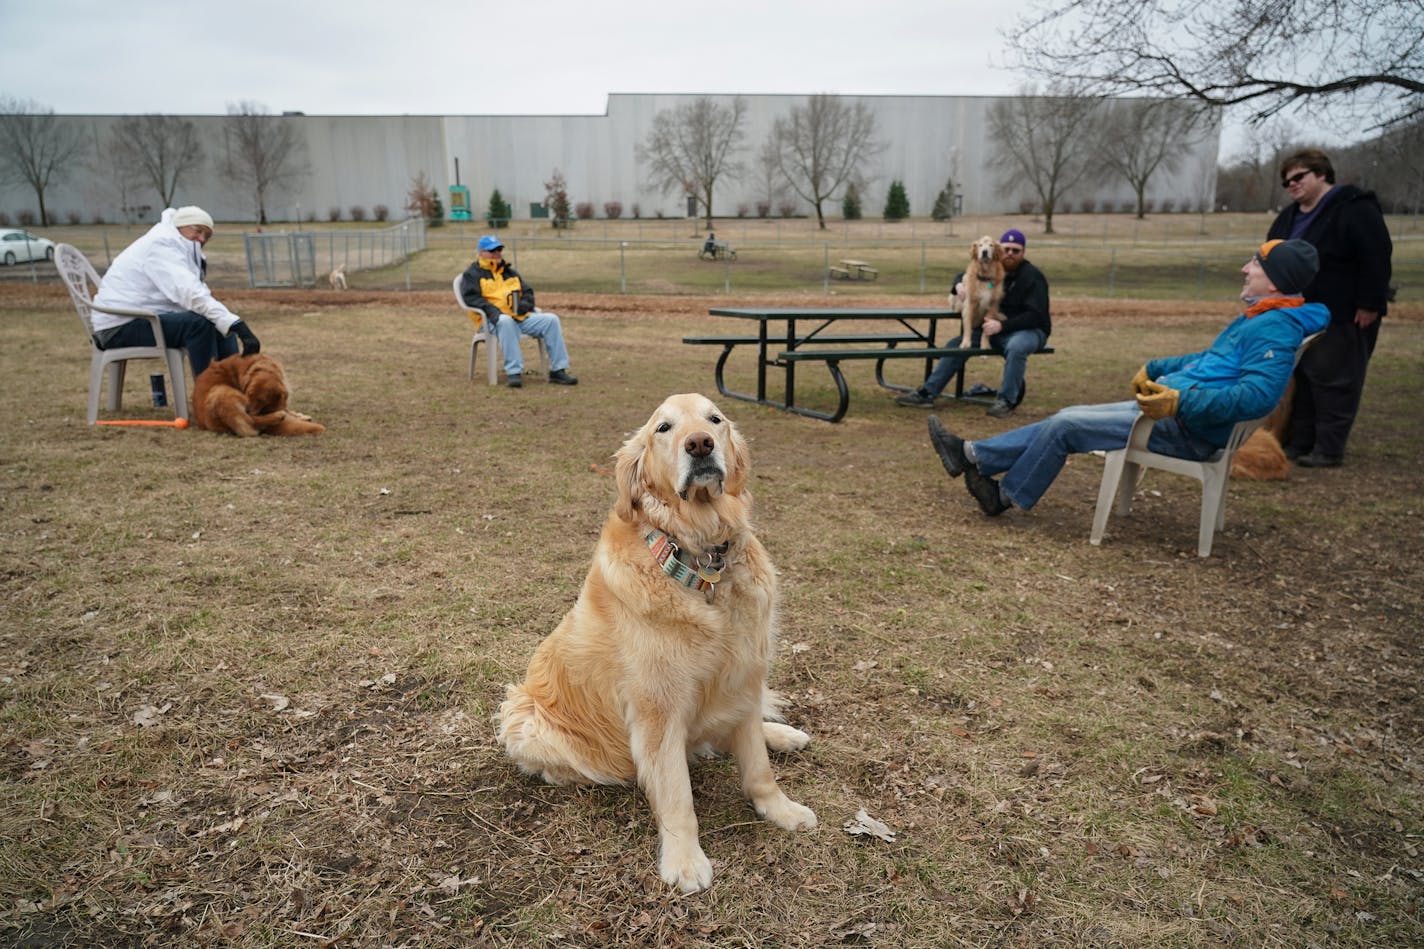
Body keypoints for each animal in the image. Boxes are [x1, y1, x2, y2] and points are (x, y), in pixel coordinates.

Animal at [192, 353, 326, 433]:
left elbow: (288, 409)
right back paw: (277, 416)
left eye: (261, 402)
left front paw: (301, 416)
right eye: (248, 395)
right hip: (221, 390)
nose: (248, 409)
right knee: (251, 421)